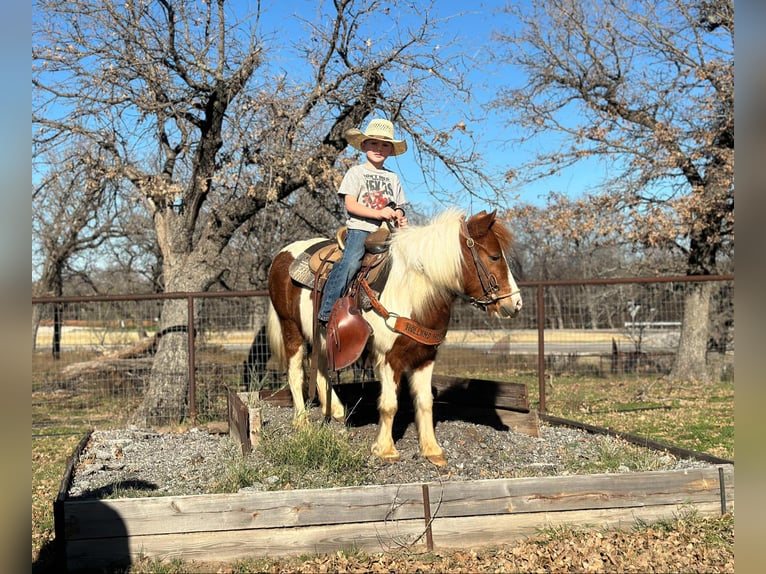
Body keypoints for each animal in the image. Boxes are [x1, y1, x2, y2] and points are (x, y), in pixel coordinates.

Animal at [266, 209, 523, 466]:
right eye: (494, 257)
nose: (516, 303)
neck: (411, 292)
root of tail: (282, 254)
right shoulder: (389, 358)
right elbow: (389, 404)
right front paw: (385, 449)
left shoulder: (425, 357)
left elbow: (425, 401)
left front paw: (432, 450)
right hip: (291, 328)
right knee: (296, 373)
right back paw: (302, 421)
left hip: (320, 336)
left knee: (319, 367)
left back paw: (336, 411)